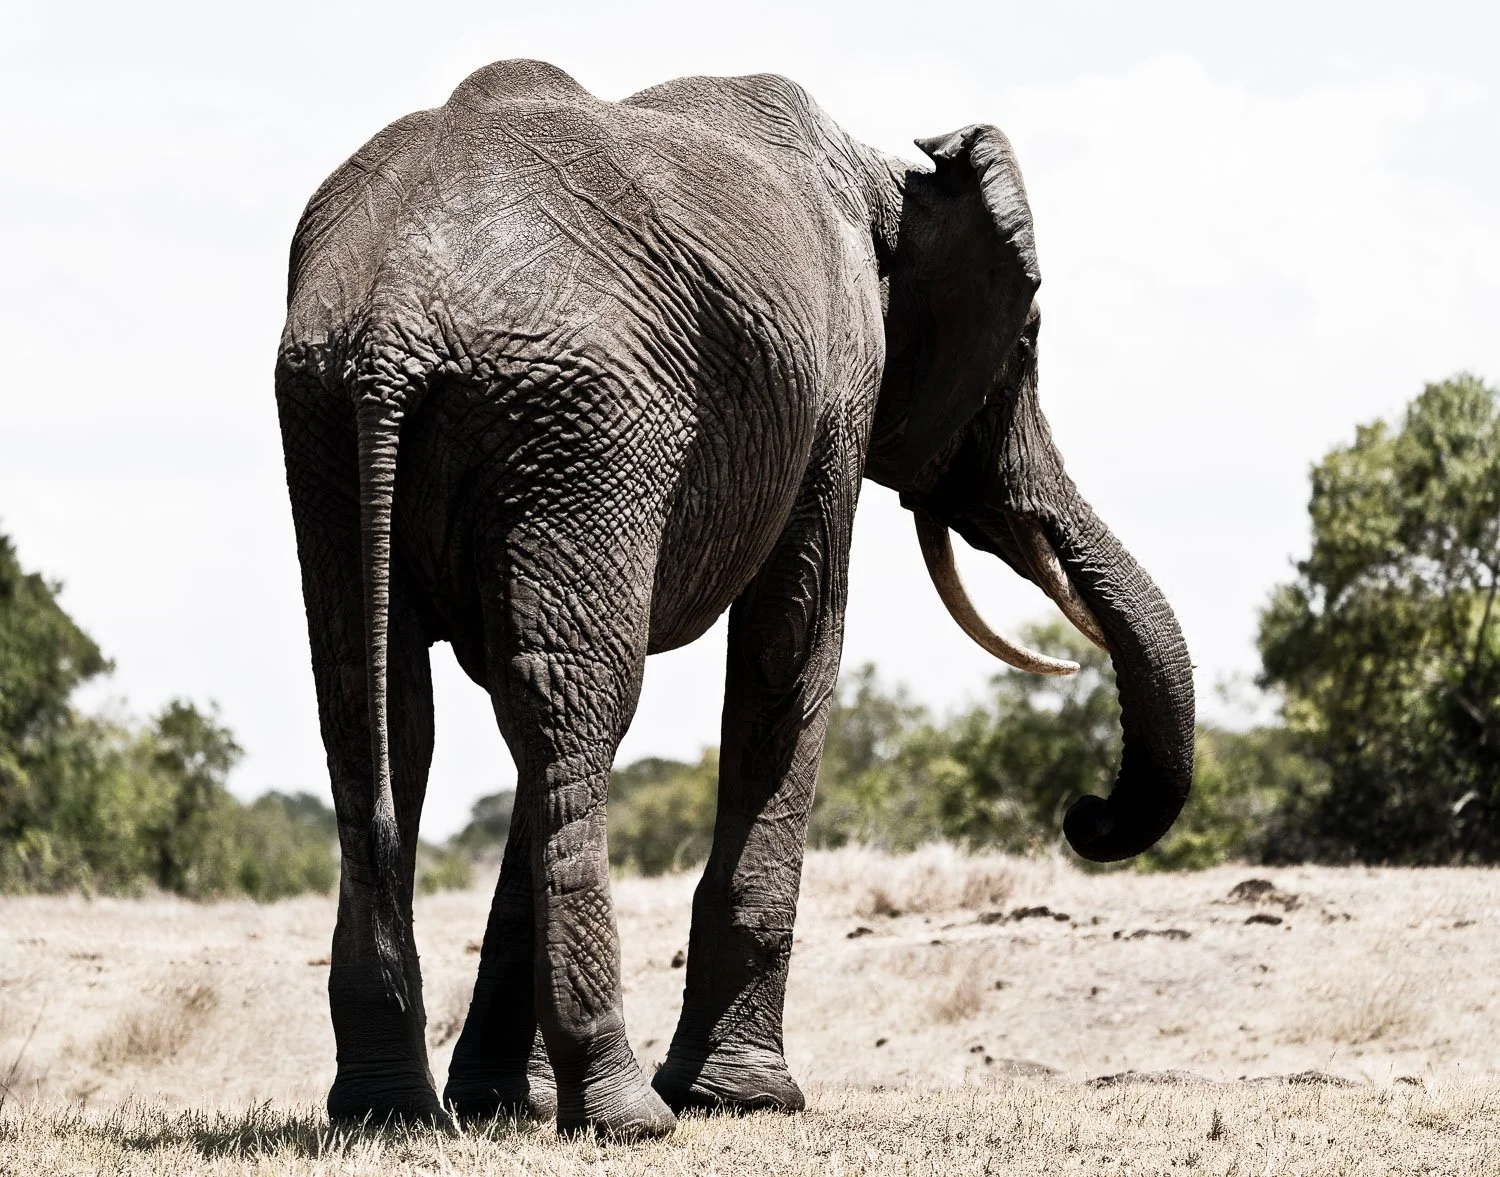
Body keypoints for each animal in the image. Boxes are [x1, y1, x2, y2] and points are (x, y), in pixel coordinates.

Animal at [274, 58, 1193, 1137]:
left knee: (381, 708)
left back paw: (391, 1112)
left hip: (339, 424)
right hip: (583, 433)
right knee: (571, 704)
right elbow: (794, 638)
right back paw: (629, 1114)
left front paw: (505, 1102)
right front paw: (747, 1100)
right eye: (1029, 342)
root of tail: (392, 326)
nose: (1085, 814)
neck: (886, 173)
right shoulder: (837, 387)